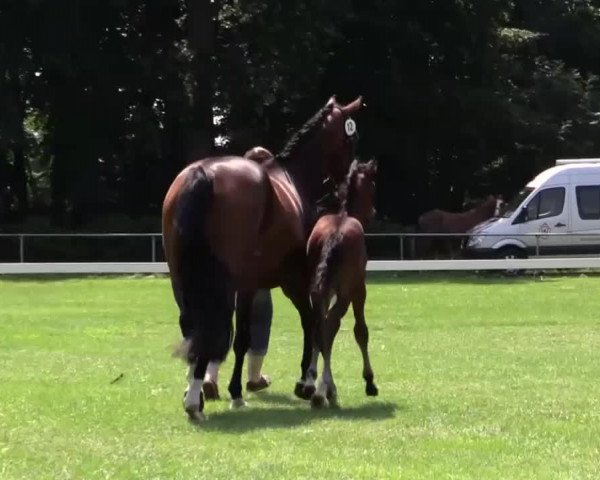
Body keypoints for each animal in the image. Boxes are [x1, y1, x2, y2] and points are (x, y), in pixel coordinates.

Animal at [162, 94, 364, 420]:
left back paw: (195, 396)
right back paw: (197, 398)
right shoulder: (288, 281)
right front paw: (304, 382)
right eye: (352, 138)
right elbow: (301, 323)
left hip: (182, 282)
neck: (292, 175)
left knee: (194, 328)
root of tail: (202, 173)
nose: (346, 182)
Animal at [304, 159, 380, 406]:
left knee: (319, 326)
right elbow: (360, 331)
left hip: (318, 291)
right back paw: (322, 390)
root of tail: (335, 235)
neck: (345, 214)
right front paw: (369, 381)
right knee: (331, 324)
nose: (373, 212)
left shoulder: (324, 291)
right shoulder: (359, 289)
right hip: (346, 292)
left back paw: (314, 385)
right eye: (373, 185)